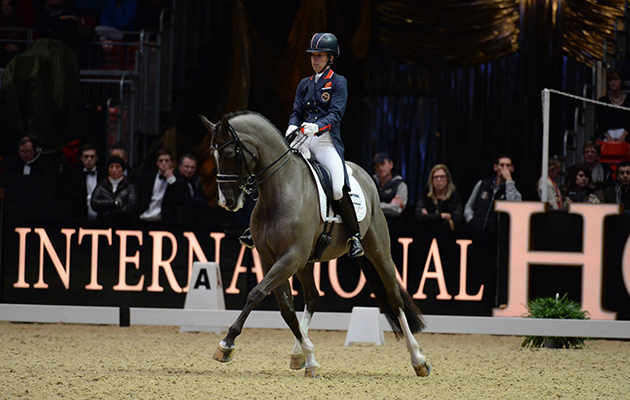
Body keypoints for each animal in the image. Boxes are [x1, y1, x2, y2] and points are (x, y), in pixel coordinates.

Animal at [200, 111, 432, 376]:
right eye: (212, 156)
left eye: (229, 154)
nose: (227, 201)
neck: (279, 191)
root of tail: (364, 175)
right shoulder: (272, 260)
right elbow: (286, 308)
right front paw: (310, 357)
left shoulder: (290, 258)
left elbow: (256, 294)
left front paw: (226, 343)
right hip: (307, 263)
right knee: (312, 296)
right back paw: (299, 353)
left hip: (378, 250)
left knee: (394, 297)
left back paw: (418, 359)